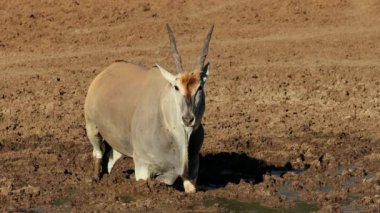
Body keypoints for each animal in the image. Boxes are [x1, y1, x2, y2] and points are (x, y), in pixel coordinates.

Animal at [84, 24, 214, 193]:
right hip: (92, 127)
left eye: (200, 87)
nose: (187, 119)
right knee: (98, 153)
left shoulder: (190, 173)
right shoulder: (142, 166)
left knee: (111, 159)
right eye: (176, 87)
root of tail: (104, 73)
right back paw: (95, 178)